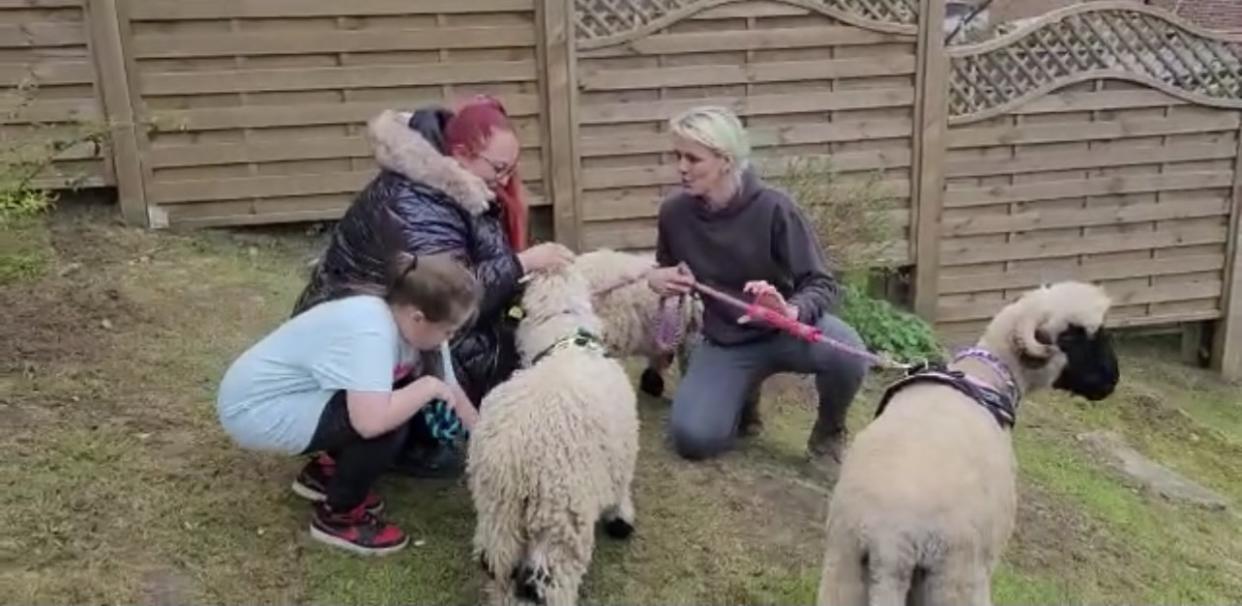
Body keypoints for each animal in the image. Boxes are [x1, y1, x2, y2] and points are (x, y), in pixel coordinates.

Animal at [466, 264, 640, 606]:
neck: (566, 342)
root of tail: (509, 462)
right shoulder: (622, 452)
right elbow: (621, 490)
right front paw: (622, 519)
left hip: (496, 515)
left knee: (498, 570)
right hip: (560, 519)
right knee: (547, 583)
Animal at [819, 281, 1122, 606]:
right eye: (1073, 335)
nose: (1112, 379)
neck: (984, 376)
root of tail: (890, 543)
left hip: (844, 567)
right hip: (955, 575)